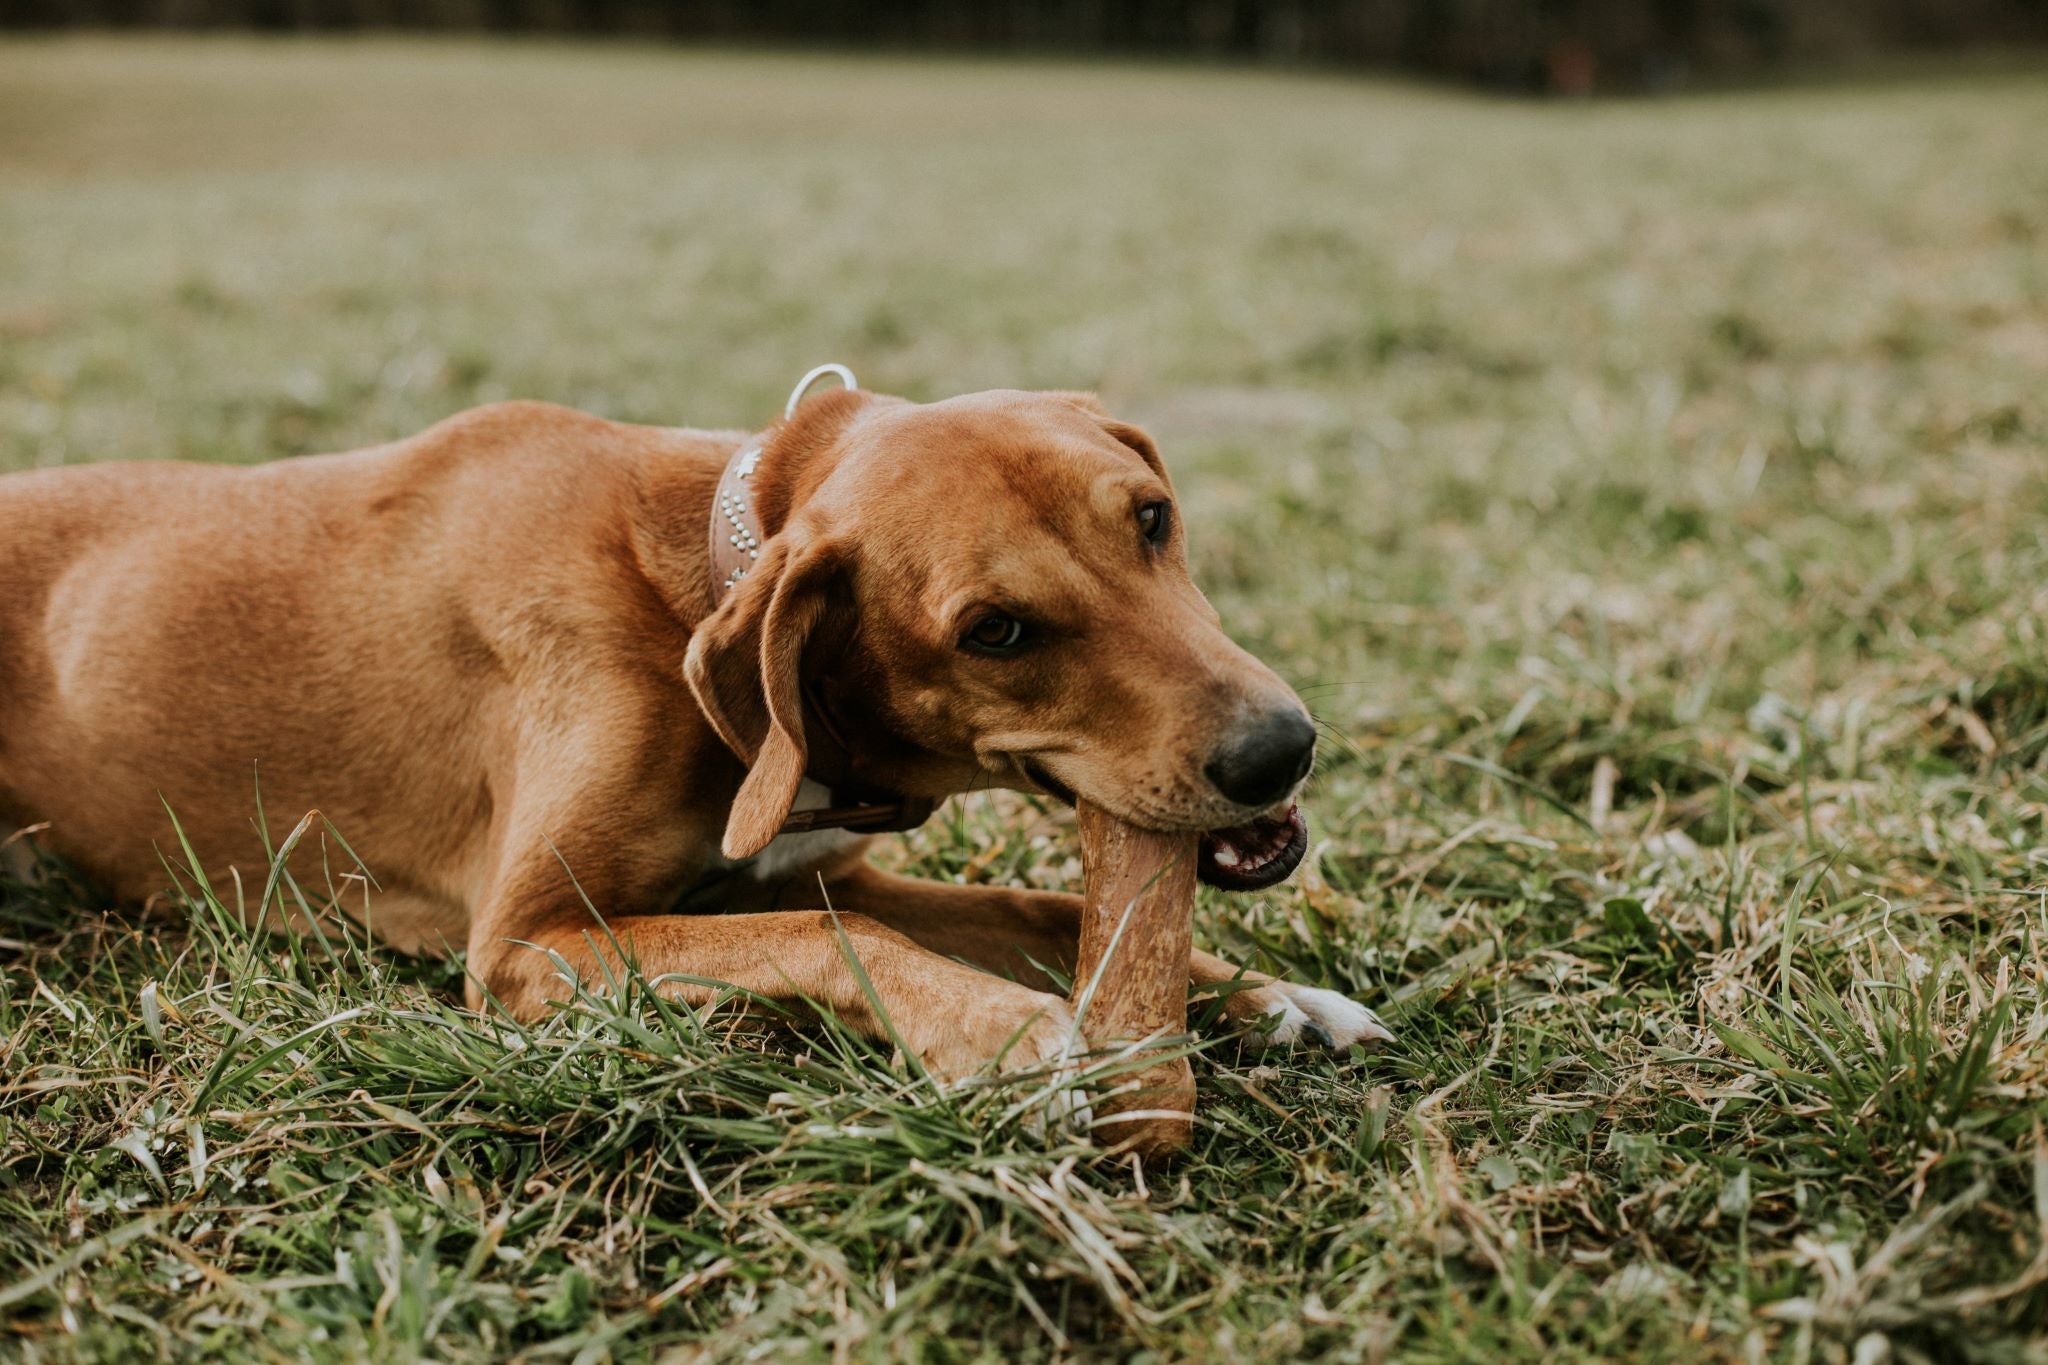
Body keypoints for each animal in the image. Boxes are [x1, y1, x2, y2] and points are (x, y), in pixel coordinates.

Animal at [0, 384, 1392, 1088]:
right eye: (993, 632)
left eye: (1151, 517)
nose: (1280, 750)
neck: (687, 575)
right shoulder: (527, 946)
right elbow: (828, 936)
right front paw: (997, 1027)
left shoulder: (816, 869)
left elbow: (1024, 908)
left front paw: (1265, 994)